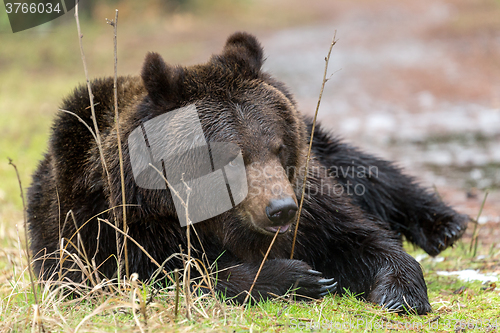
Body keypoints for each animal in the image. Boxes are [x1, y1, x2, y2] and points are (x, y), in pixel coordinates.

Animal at [27, 31, 468, 314]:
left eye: (277, 147)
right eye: (226, 158)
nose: (280, 208)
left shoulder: (311, 201)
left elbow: (358, 237)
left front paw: (400, 293)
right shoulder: (117, 228)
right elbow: (171, 275)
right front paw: (300, 277)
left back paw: (446, 224)